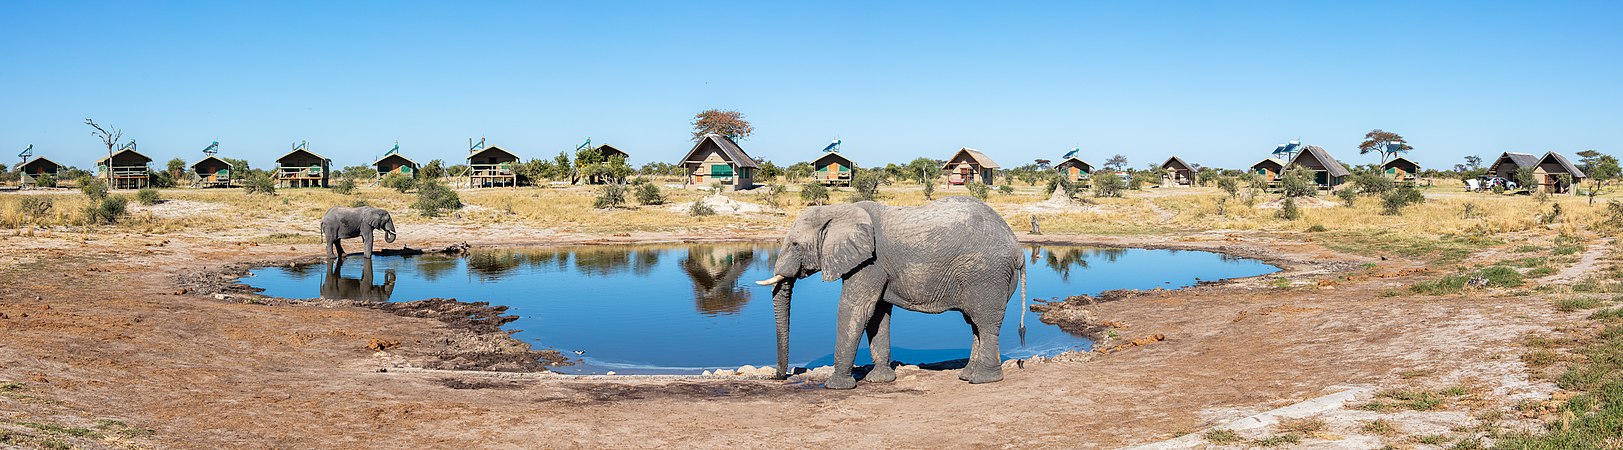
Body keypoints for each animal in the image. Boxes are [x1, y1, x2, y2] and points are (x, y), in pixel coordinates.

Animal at [756, 197, 1025, 388]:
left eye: (795, 245)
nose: (780, 377)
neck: (838, 211)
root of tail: (1019, 249)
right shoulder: (876, 267)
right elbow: (877, 315)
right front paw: (880, 380)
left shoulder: (870, 262)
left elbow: (855, 309)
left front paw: (836, 386)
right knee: (974, 324)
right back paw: (966, 376)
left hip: (987, 274)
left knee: (985, 322)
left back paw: (982, 380)